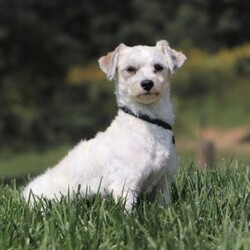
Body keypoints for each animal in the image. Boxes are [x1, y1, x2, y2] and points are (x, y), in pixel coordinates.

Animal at [23, 40, 186, 210]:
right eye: (130, 69)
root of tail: (26, 194)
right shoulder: (125, 183)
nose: (147, 83)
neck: (147, 121)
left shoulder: (163, 181)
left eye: (158, 67)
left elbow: (164, 206)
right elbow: (127, 211)